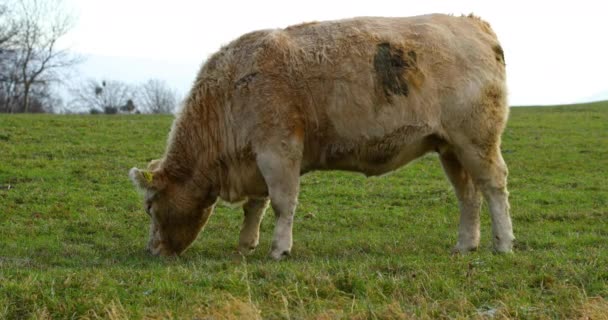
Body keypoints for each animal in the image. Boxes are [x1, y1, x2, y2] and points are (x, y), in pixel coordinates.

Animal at [128, 13, 512, 260]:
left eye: (149, 206)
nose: (151, 250)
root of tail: (471, 22)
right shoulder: (256, 158)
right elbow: (256, 206)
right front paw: (246, 244)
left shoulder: (278, 150)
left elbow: (282, 202)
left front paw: (279, 249)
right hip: (450, 148)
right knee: (468, 195)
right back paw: (465, 245)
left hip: (476, 141)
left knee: (493, 186)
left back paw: (504, 243)